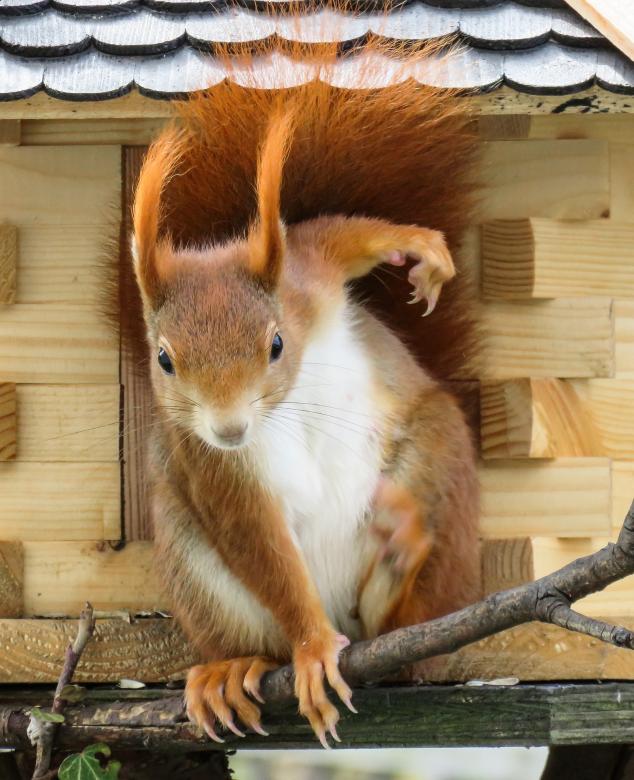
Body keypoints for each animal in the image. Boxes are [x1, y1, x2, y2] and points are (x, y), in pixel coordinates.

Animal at [129, 31, 481, 748]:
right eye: (164, 360)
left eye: (275, 345)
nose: (230, 429)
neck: (281, 409)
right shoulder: (212, 468)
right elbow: (263, 549)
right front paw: (314, 647)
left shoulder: (307, 278)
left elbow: (336, 234)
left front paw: (420, 248)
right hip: (190, 558)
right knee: (257, 637)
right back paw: (231, 670)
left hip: (439, 453)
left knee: (406, 627)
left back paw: (402, 557)